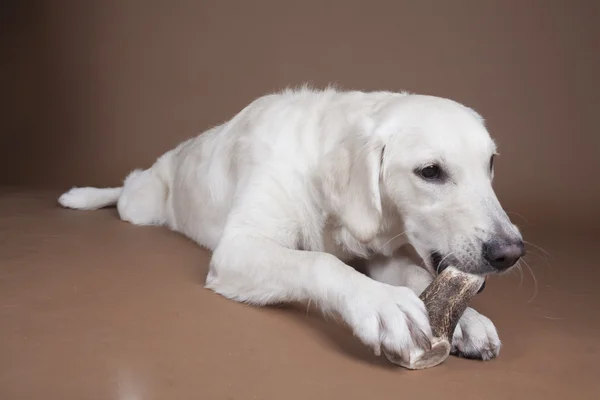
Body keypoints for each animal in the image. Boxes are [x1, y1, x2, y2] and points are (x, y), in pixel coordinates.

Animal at [58, 86, 524, 364]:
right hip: (140, 202)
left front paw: (467, 320)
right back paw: (81, 195)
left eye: (490, 164)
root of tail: (175, 152)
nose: (512, 252)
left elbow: (414, 274)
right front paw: (382, 305)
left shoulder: (377, 252)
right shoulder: (238, 249)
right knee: (123, 190)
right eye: (430, 172)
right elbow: (319, 262)